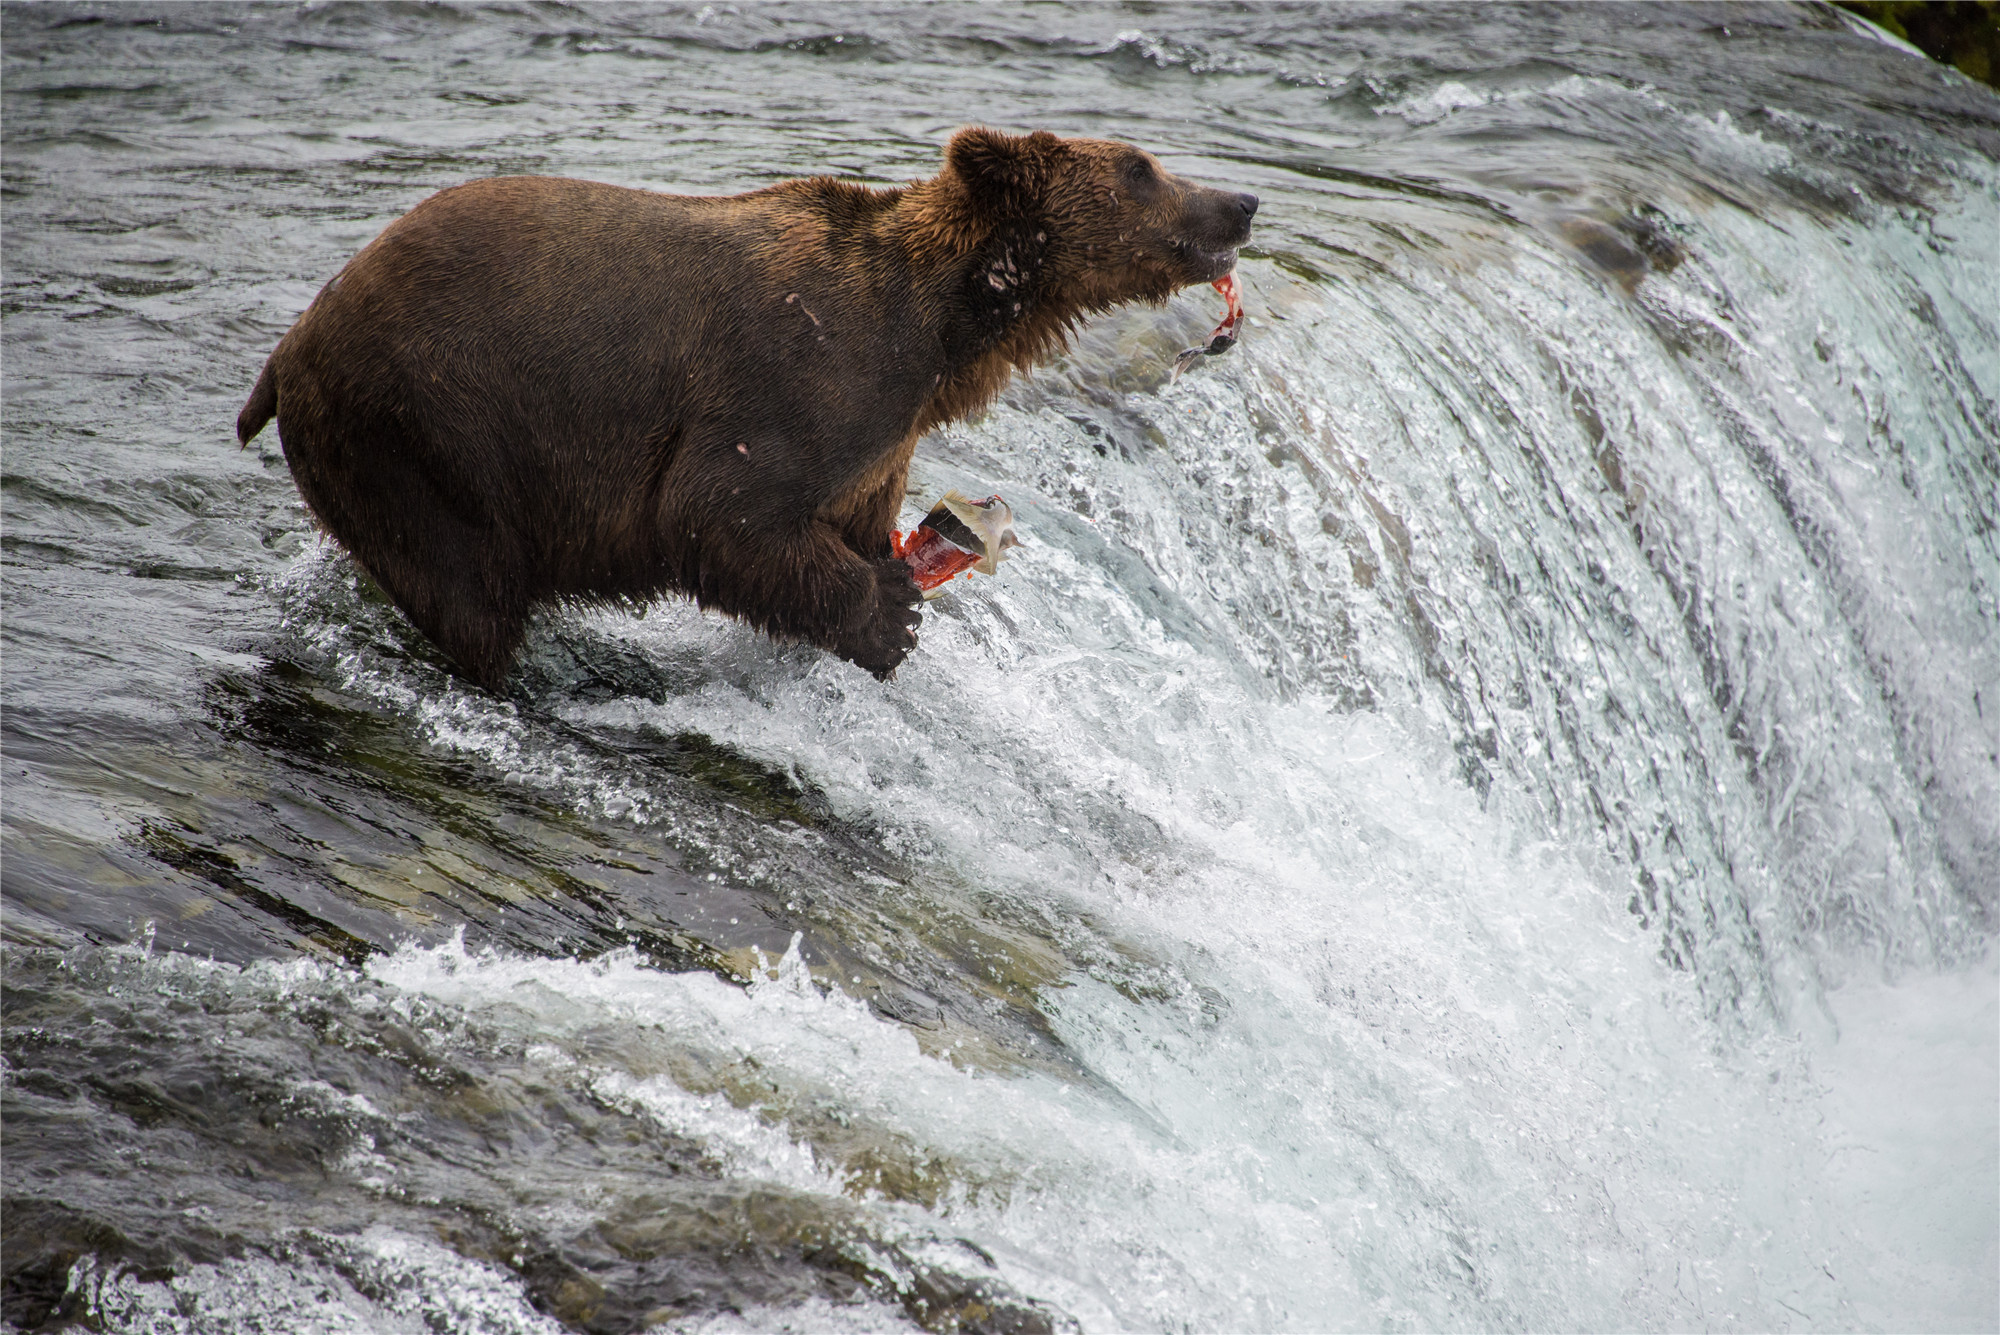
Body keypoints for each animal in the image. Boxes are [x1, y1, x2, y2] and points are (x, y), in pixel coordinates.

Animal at [238, 124, 1248, 687]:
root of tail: (289, 348)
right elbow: (716, 507)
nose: (1240, 202)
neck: (945, 331)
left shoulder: (882, 441)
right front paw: (889, 614)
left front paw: (896, 588)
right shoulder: (805, 375)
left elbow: (848, 518)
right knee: (468, 589)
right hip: (425, 429)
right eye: (1142, 169)